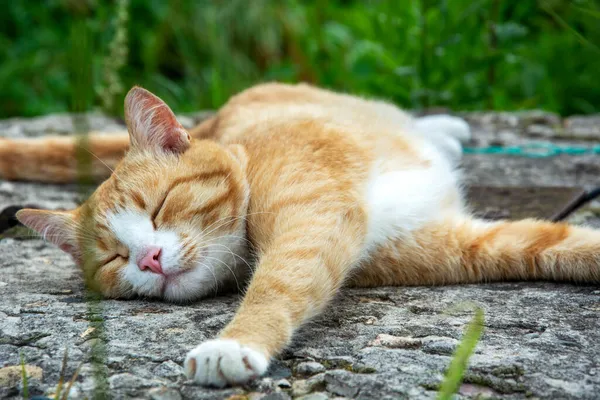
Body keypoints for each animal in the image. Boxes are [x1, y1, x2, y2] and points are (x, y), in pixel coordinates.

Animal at [1, 83, 600, 388]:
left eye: (160, 206)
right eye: (112, 259)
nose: (147, 258)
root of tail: (215, 118)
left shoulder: (310, 220)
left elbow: (274, 285)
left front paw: (233, 342)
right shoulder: (453, 242)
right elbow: (551, 245)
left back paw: (444, 128)